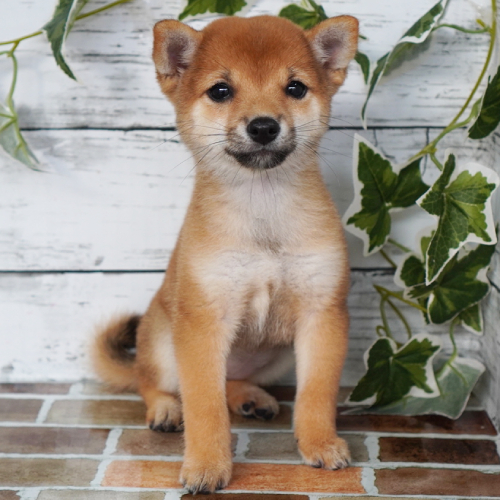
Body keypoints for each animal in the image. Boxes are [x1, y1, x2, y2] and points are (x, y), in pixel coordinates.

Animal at [93, 13, 360, 494]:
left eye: (295, 88)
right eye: (220, 91)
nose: (263, 126)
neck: (263, 209)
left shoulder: (322, 316)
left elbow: (316, 393)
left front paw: (320, 443)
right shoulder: (203, 323)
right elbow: (205, 405)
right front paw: (206, 465)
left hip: (275, 354)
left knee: (232, 378)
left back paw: (250, 397)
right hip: (161, 342)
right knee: (149, 382)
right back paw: (165, 408)